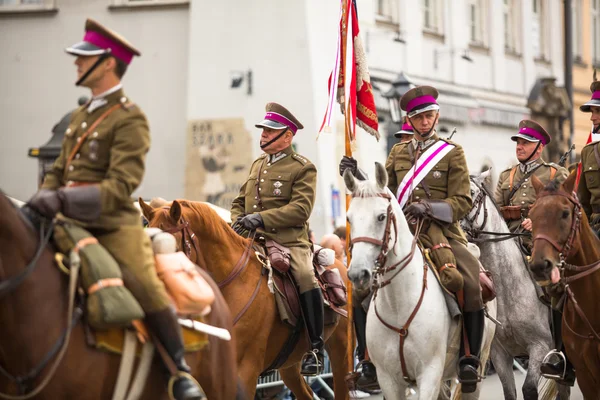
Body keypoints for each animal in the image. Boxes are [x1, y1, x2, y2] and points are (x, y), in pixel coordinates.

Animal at [344, 163, 494, 400]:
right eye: (349, 218)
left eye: (381, 217)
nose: (358, 274)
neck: (398, 305)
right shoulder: (388, 380)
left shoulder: (429, 374)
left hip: (477, 365)